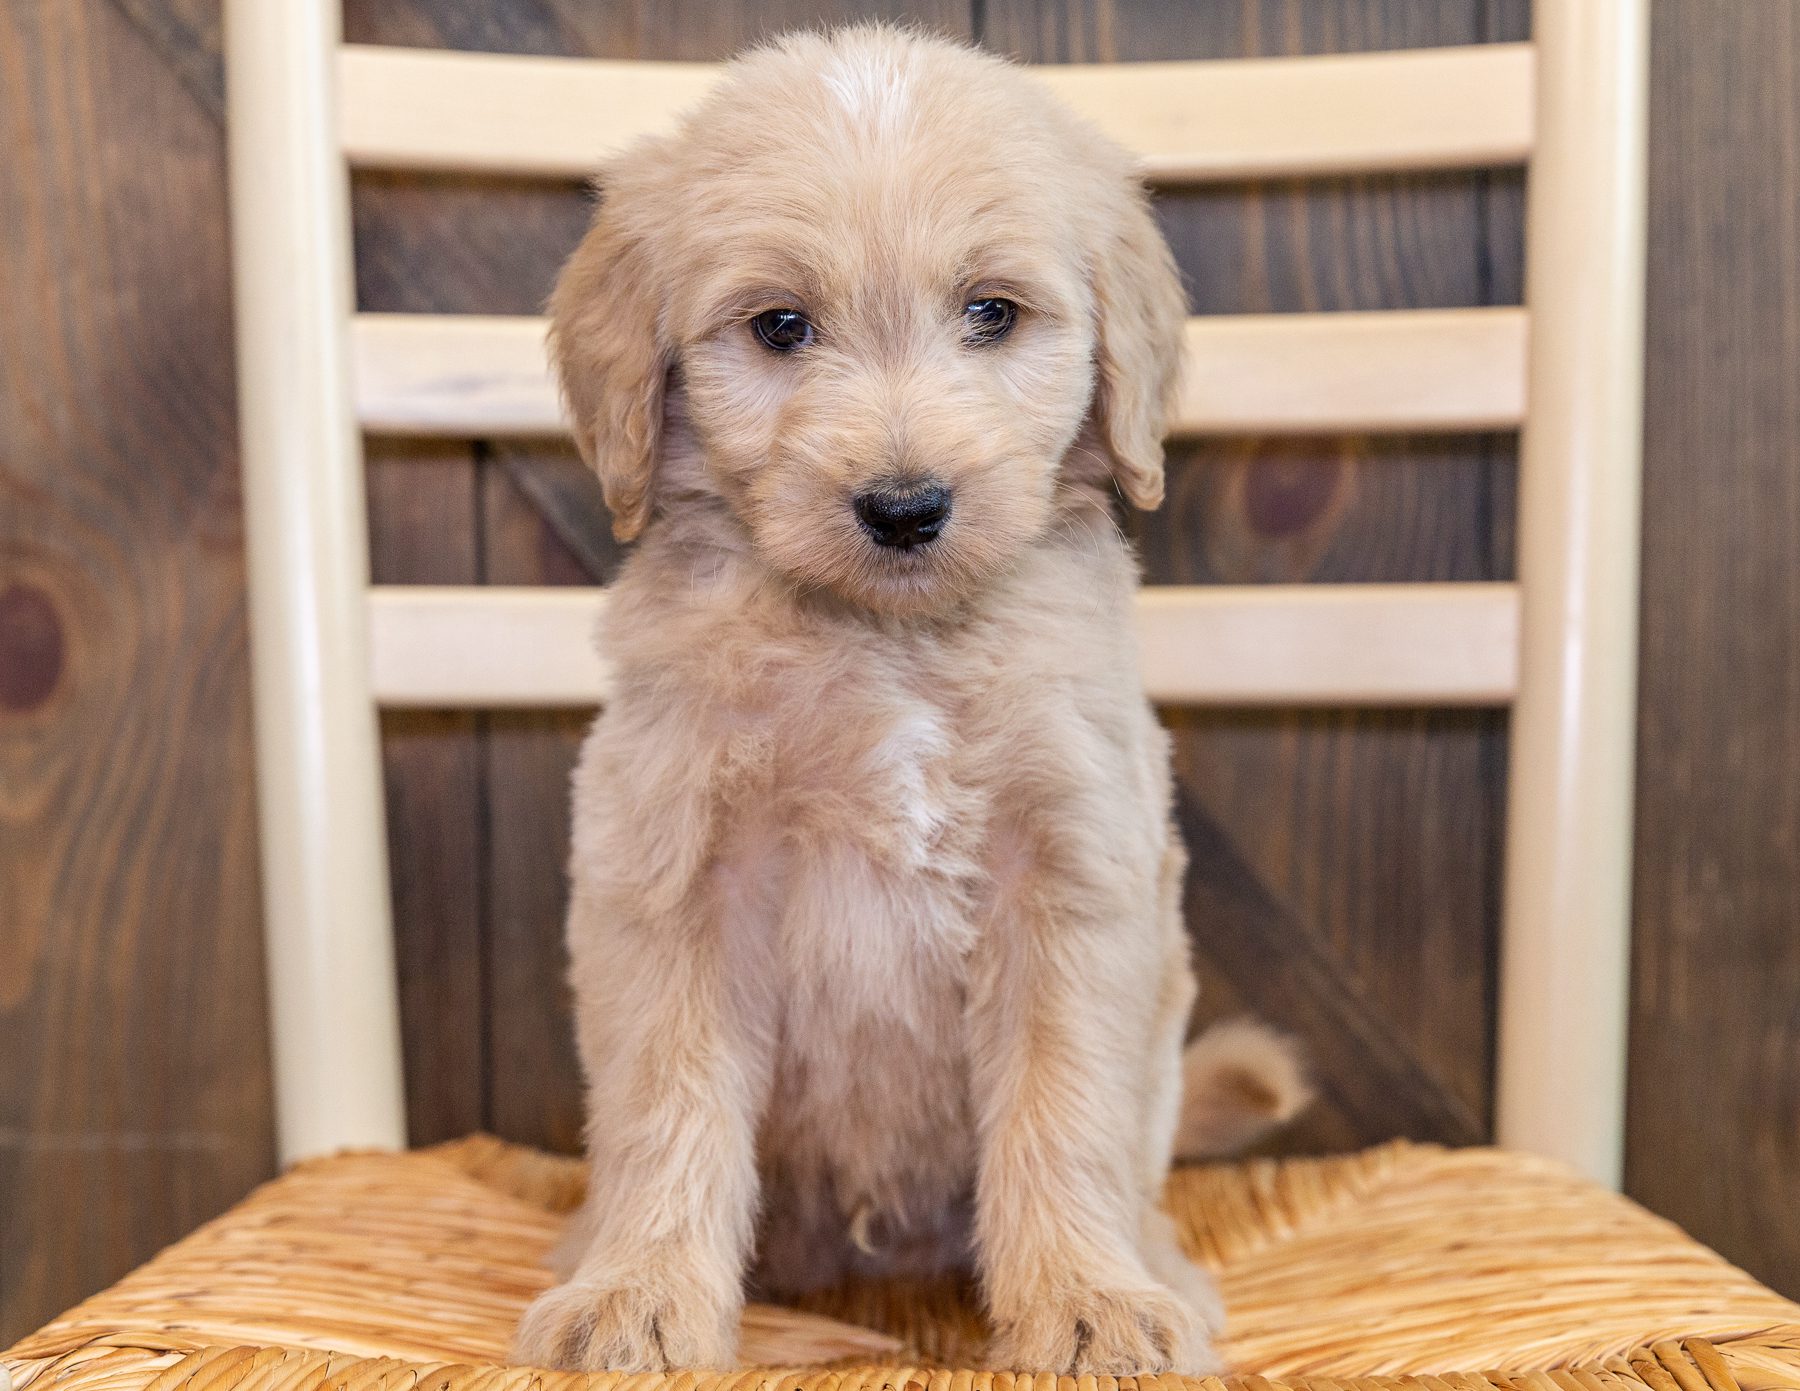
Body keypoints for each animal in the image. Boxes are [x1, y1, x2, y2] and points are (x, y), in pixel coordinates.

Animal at [514, 21, 1303, 1374]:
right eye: (781, 326)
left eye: (991, 313)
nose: (903, 506)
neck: (890, 647)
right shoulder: (672, 870)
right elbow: (668, 1105)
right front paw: (637, 1292)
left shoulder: (1073, 874)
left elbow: (1064, 1109)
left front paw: (1089, 1298)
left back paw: (1156, 1265)